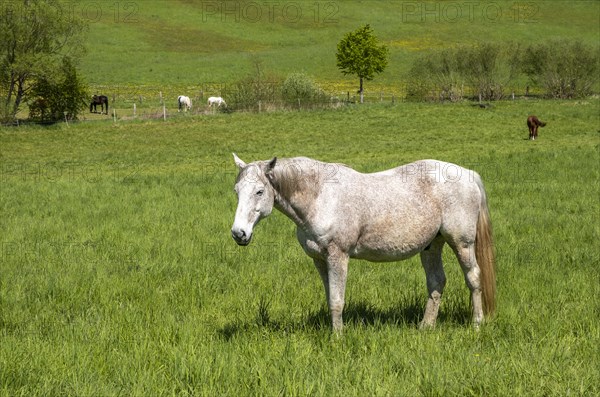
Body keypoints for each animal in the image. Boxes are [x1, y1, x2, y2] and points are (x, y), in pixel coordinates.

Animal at [231, 155, 496, 332]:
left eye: (259, 191)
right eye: (236, 191)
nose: (238, 233)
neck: (320, 197)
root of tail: (469, 174)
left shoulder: (338, 256)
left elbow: (337, 301)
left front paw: (338, 338)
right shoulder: (320, 260)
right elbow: (330, 298)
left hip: (461, 243)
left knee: (473, 278)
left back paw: (476, 324)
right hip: (432, 245)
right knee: (437, 282)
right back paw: (425, 327)